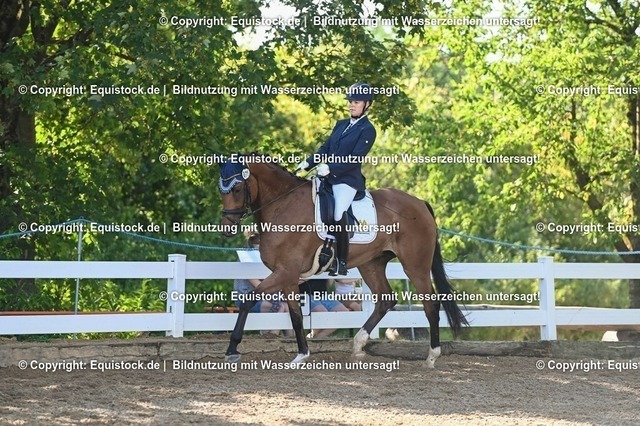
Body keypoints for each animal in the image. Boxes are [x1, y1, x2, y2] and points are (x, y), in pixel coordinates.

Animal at [217, 154, 468, 368]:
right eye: (221, 190)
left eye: (237, 188)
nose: (227, 228)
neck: (283, 205)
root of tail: (419, 202)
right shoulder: (288, 276)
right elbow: (296, 316)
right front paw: (301, 355)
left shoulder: (285, 273)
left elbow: (248, 301)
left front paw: (232, 350)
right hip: (372, 263)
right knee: (385, 299)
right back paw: (358, 345)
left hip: (415, 265)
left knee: (430, 304)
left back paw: (431, 356)